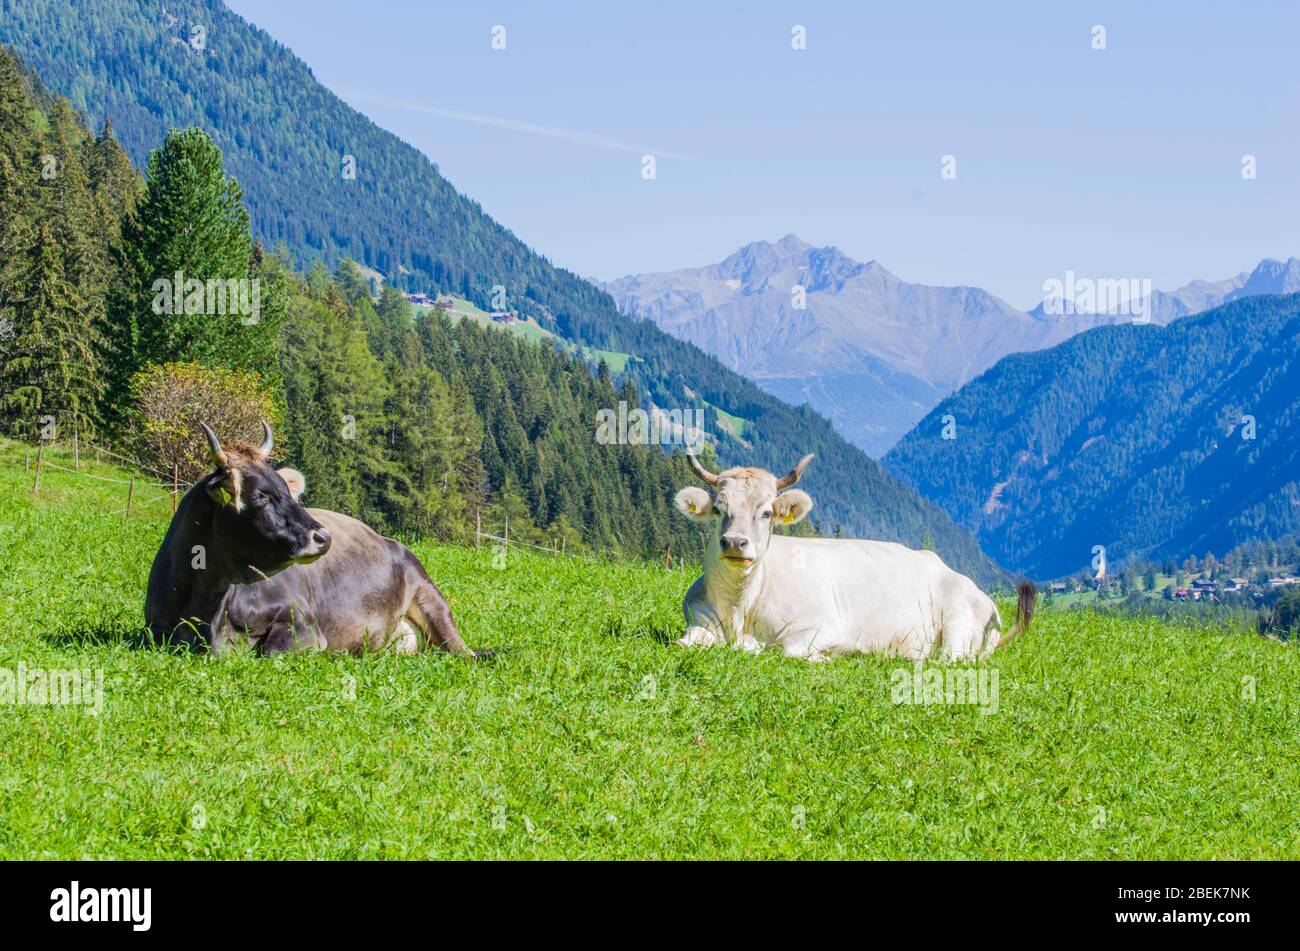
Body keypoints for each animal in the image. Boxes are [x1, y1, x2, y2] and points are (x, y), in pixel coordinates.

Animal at [145, 422, 473, 657]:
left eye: (287, 491)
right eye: (261, 496)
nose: (323, 537)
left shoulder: (302, 621)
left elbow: (271, 652)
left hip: (429, 597)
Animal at [673, 452, 1034, 661]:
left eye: (766, 513)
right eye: (719, 509)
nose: (735, 542)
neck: (740, 608)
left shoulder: (821, 626)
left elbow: (784, 649)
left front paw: (830, 655)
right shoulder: (697, 621)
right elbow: (686, 642)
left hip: (960, 621)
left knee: (949, 660)